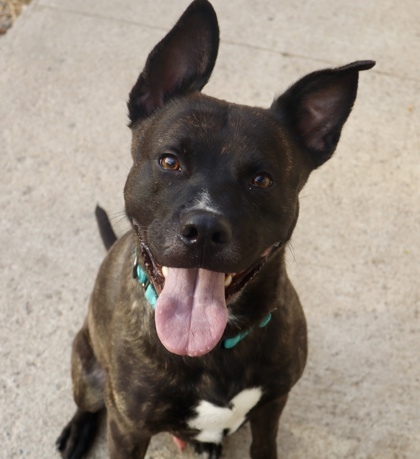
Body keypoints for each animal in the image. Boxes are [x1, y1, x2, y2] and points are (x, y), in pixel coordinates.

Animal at [55, 0, 374, 459]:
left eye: (262, 180)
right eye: (170, 161)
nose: (204, 228)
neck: (214, 346)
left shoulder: (272, 407)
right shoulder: (128, 430)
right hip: (87, 369)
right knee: (87, 401)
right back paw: (78, 430)